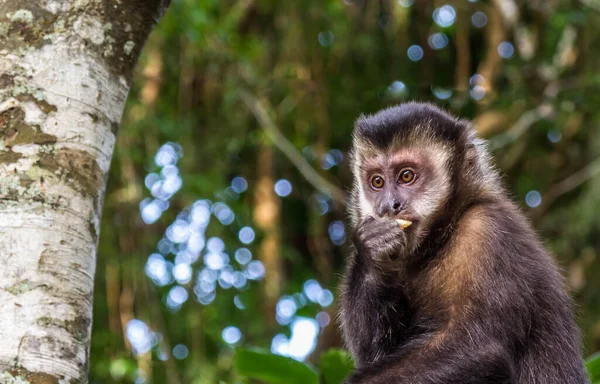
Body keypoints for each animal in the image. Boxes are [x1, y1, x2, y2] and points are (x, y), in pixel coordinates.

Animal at [340, 103, 588, 384]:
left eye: (406, 176)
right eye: (377, 182)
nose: (388, 206)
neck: (440, 239)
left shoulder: (487, 229)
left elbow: (481, 349)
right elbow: (373, 353)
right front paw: (372, 249)